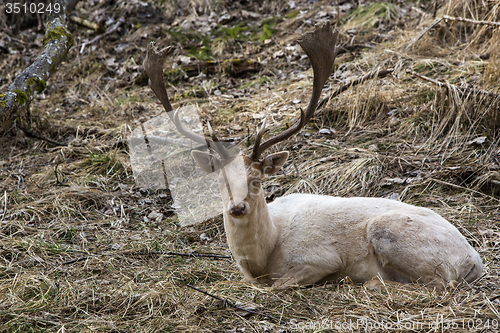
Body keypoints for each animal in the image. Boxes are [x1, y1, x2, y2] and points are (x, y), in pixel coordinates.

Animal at [146, 22, 484, 288]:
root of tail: (474, 260)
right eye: (220, 181)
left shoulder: (319, 258)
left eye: (257, 179)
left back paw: (372, 283)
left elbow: (277, 286)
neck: (263, 258)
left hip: (392, 235)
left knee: (439, 283)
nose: (237, 208)